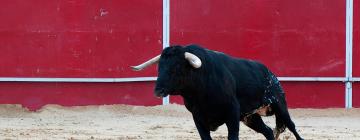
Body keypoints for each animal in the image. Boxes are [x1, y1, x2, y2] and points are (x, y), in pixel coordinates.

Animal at [131, 45, 302, 140]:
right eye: (159, 67)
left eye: (177, 67)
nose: (157, 90)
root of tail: (270, 73)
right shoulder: (198, 117)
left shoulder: (232, 113)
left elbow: (232, 136)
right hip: (250, 117)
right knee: (268, 131)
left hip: (280, 105)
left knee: (292, 127)